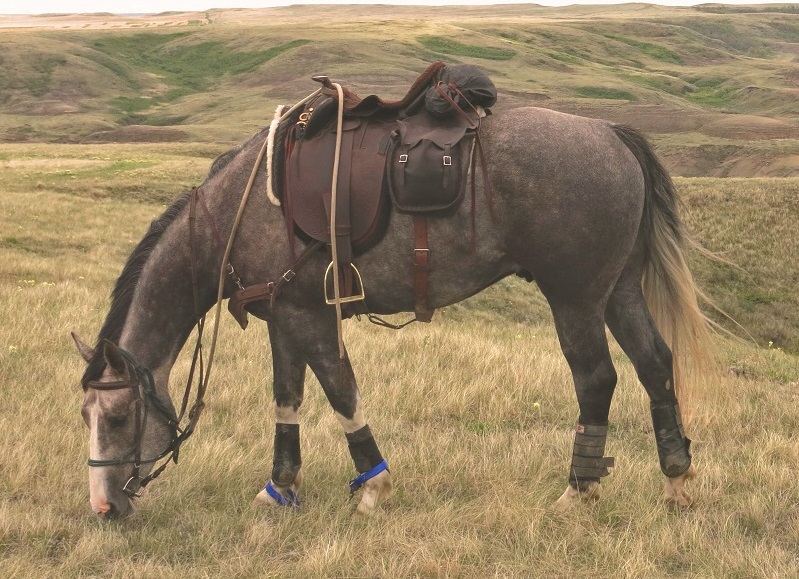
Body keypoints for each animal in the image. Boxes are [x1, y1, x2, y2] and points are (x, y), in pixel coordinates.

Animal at [72, 103, 713, 519]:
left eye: (120, 418)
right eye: (86, 418)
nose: (104, 507)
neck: (240, 207)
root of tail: (610, 132)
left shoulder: (309, 316)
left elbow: (340, 392)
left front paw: (373, 487)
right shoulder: (283, 318)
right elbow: (287, 398)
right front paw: (279, 488)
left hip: (575, 298)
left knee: (597, 379)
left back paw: (578, 491)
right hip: (617, 291)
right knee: (656, 364)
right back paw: (676, 480)